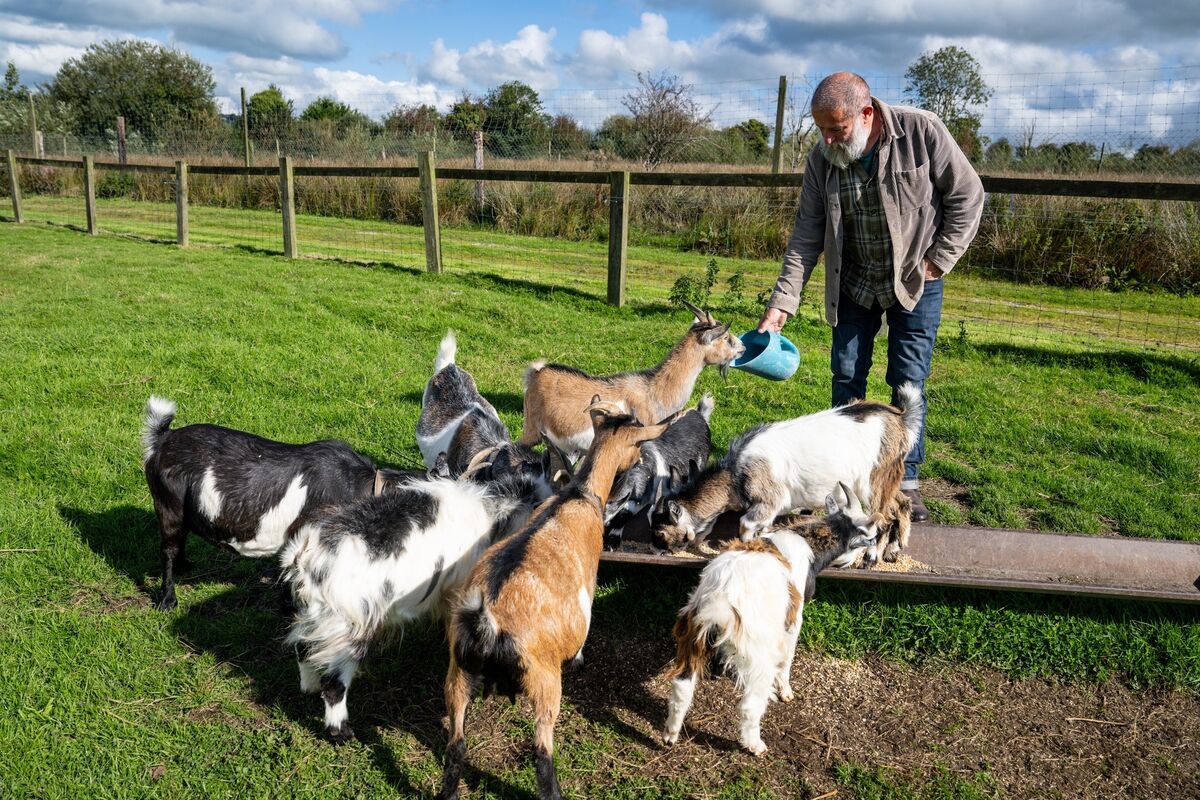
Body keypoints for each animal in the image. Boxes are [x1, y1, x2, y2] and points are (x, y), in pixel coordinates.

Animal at [281, 469, 550, 743]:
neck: (493, 516)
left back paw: (309, 688)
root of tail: (305, 556)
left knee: (302, 648)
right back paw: (342, 732)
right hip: (348, 628)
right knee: (333, 682)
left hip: (312, 616)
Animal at [439, 397, 667, 800]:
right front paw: (579, 658)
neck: (580, 496)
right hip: (544, 680)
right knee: (541, 751)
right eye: (638, 443)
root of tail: (487, 623)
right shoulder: (589, 583)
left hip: (459, 673)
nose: (638, 462)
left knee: (456, 745)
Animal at [652, 383, 923, 567]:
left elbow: (745, 525)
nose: (658, 550)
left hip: (872, 480)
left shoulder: (770, 498)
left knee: (883, 516)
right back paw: (893, 550)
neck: (734, 475)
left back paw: (871, 557)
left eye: (662, 532)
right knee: (900, 505)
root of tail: (901, 419)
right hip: (888, 477)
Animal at [661, 484, 879, 755]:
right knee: (750, 704)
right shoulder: (793, 619)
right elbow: (788, 658)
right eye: (868, 537)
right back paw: (755, 745)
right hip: (758, 654)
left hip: (693, 637)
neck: (808, 543)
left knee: (682, 686)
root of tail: (721, 600)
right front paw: (786, 691)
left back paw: (670, 735)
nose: (869, 560)